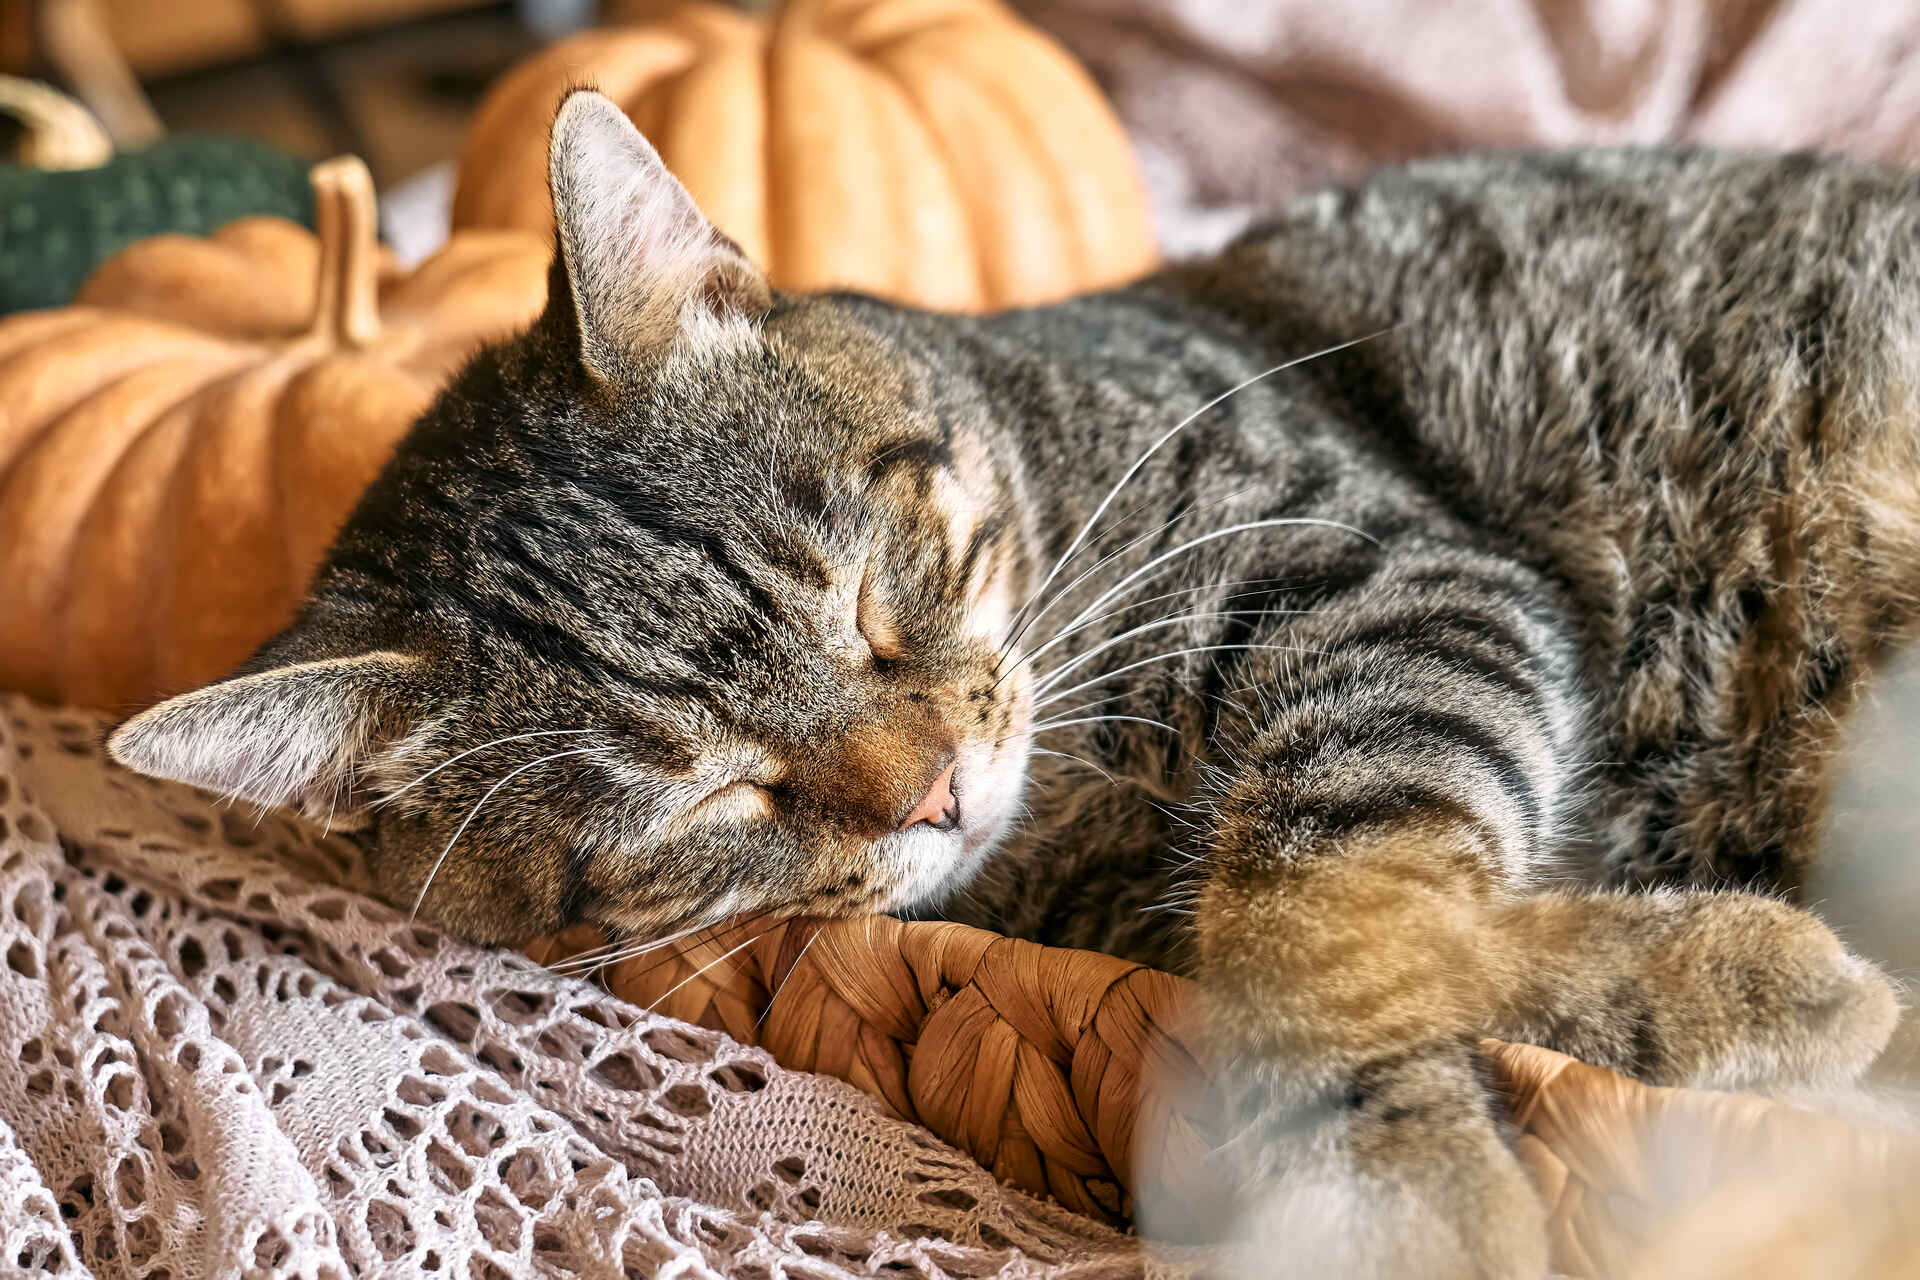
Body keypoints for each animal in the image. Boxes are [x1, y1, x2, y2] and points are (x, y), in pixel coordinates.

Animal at [112, 94, 1912, 1274]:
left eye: (867, 604)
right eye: (708, 794)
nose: (932, 791)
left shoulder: (1382, 572)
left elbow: (1326, 899)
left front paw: (1410, 1187)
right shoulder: (1132, 890)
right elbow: (1300, 925)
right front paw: (1717, 986)